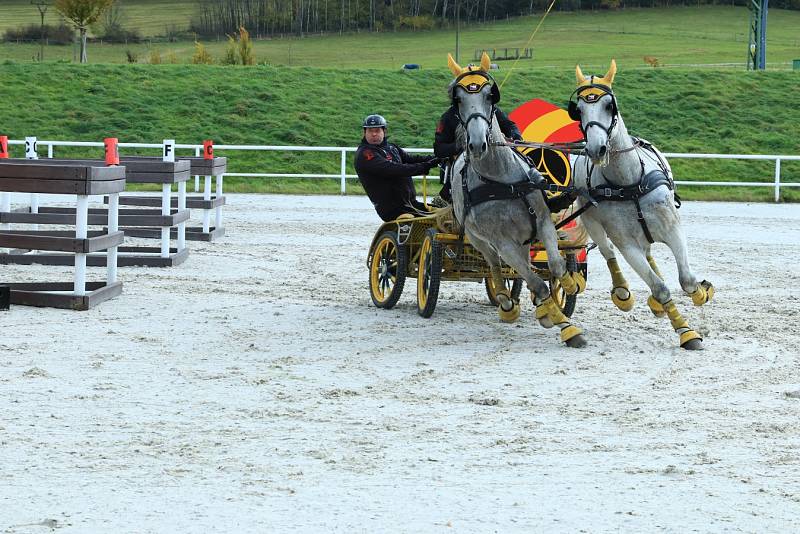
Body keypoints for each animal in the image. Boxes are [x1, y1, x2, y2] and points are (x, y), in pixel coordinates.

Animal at [444, 53, 588, 348]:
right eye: (458, 100)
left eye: (490, 95)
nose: (477, 144)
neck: (500, 181)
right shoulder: (502, 242)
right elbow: (536, 282)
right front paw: (567, 328)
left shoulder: (542, 221)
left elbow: (555, 266)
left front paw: (568, 284)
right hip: (478, 238)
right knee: (496, 266)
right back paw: (506, 302)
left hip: (523, 236)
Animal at [568, 60, 712, 352]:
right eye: (579, 110)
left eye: (609, 105)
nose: (596, 149)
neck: (629, 183)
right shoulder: (628, 245)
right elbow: (659, 287)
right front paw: (686, 332)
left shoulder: (673, 230)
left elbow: (687, 280)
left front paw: (702, 293)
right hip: (592, 222)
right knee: (607, 250)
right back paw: (623, 293)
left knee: (650, 253)